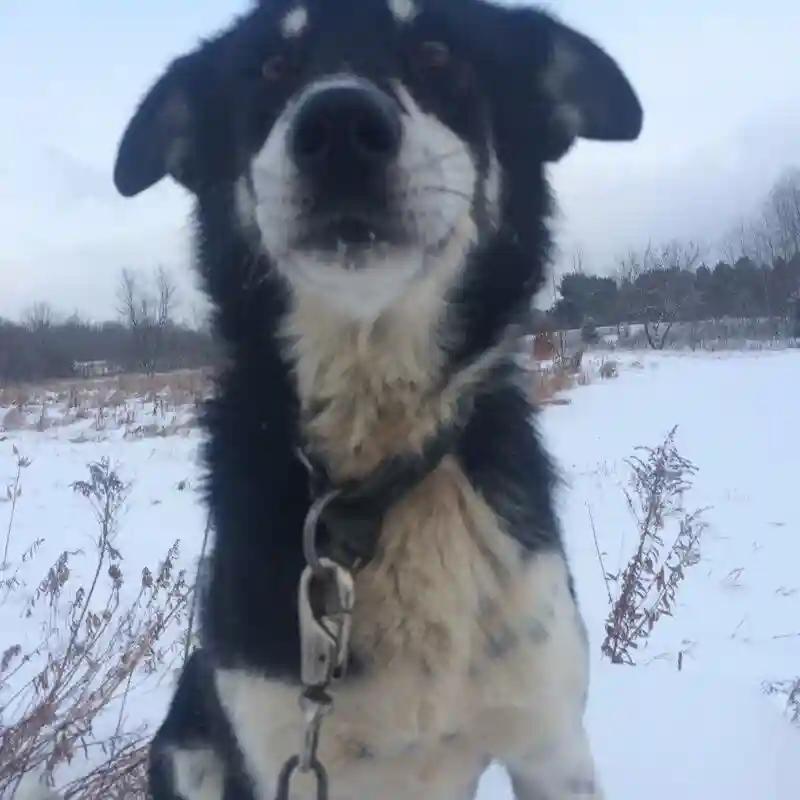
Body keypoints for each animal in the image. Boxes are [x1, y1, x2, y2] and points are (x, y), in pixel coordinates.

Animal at [108, 0, 644, 796]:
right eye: (272, 66)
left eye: (435, 53)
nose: (338, 127)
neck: (375, 483)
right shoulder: (277, 754)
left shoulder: (551, 746)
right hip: (189, 749)